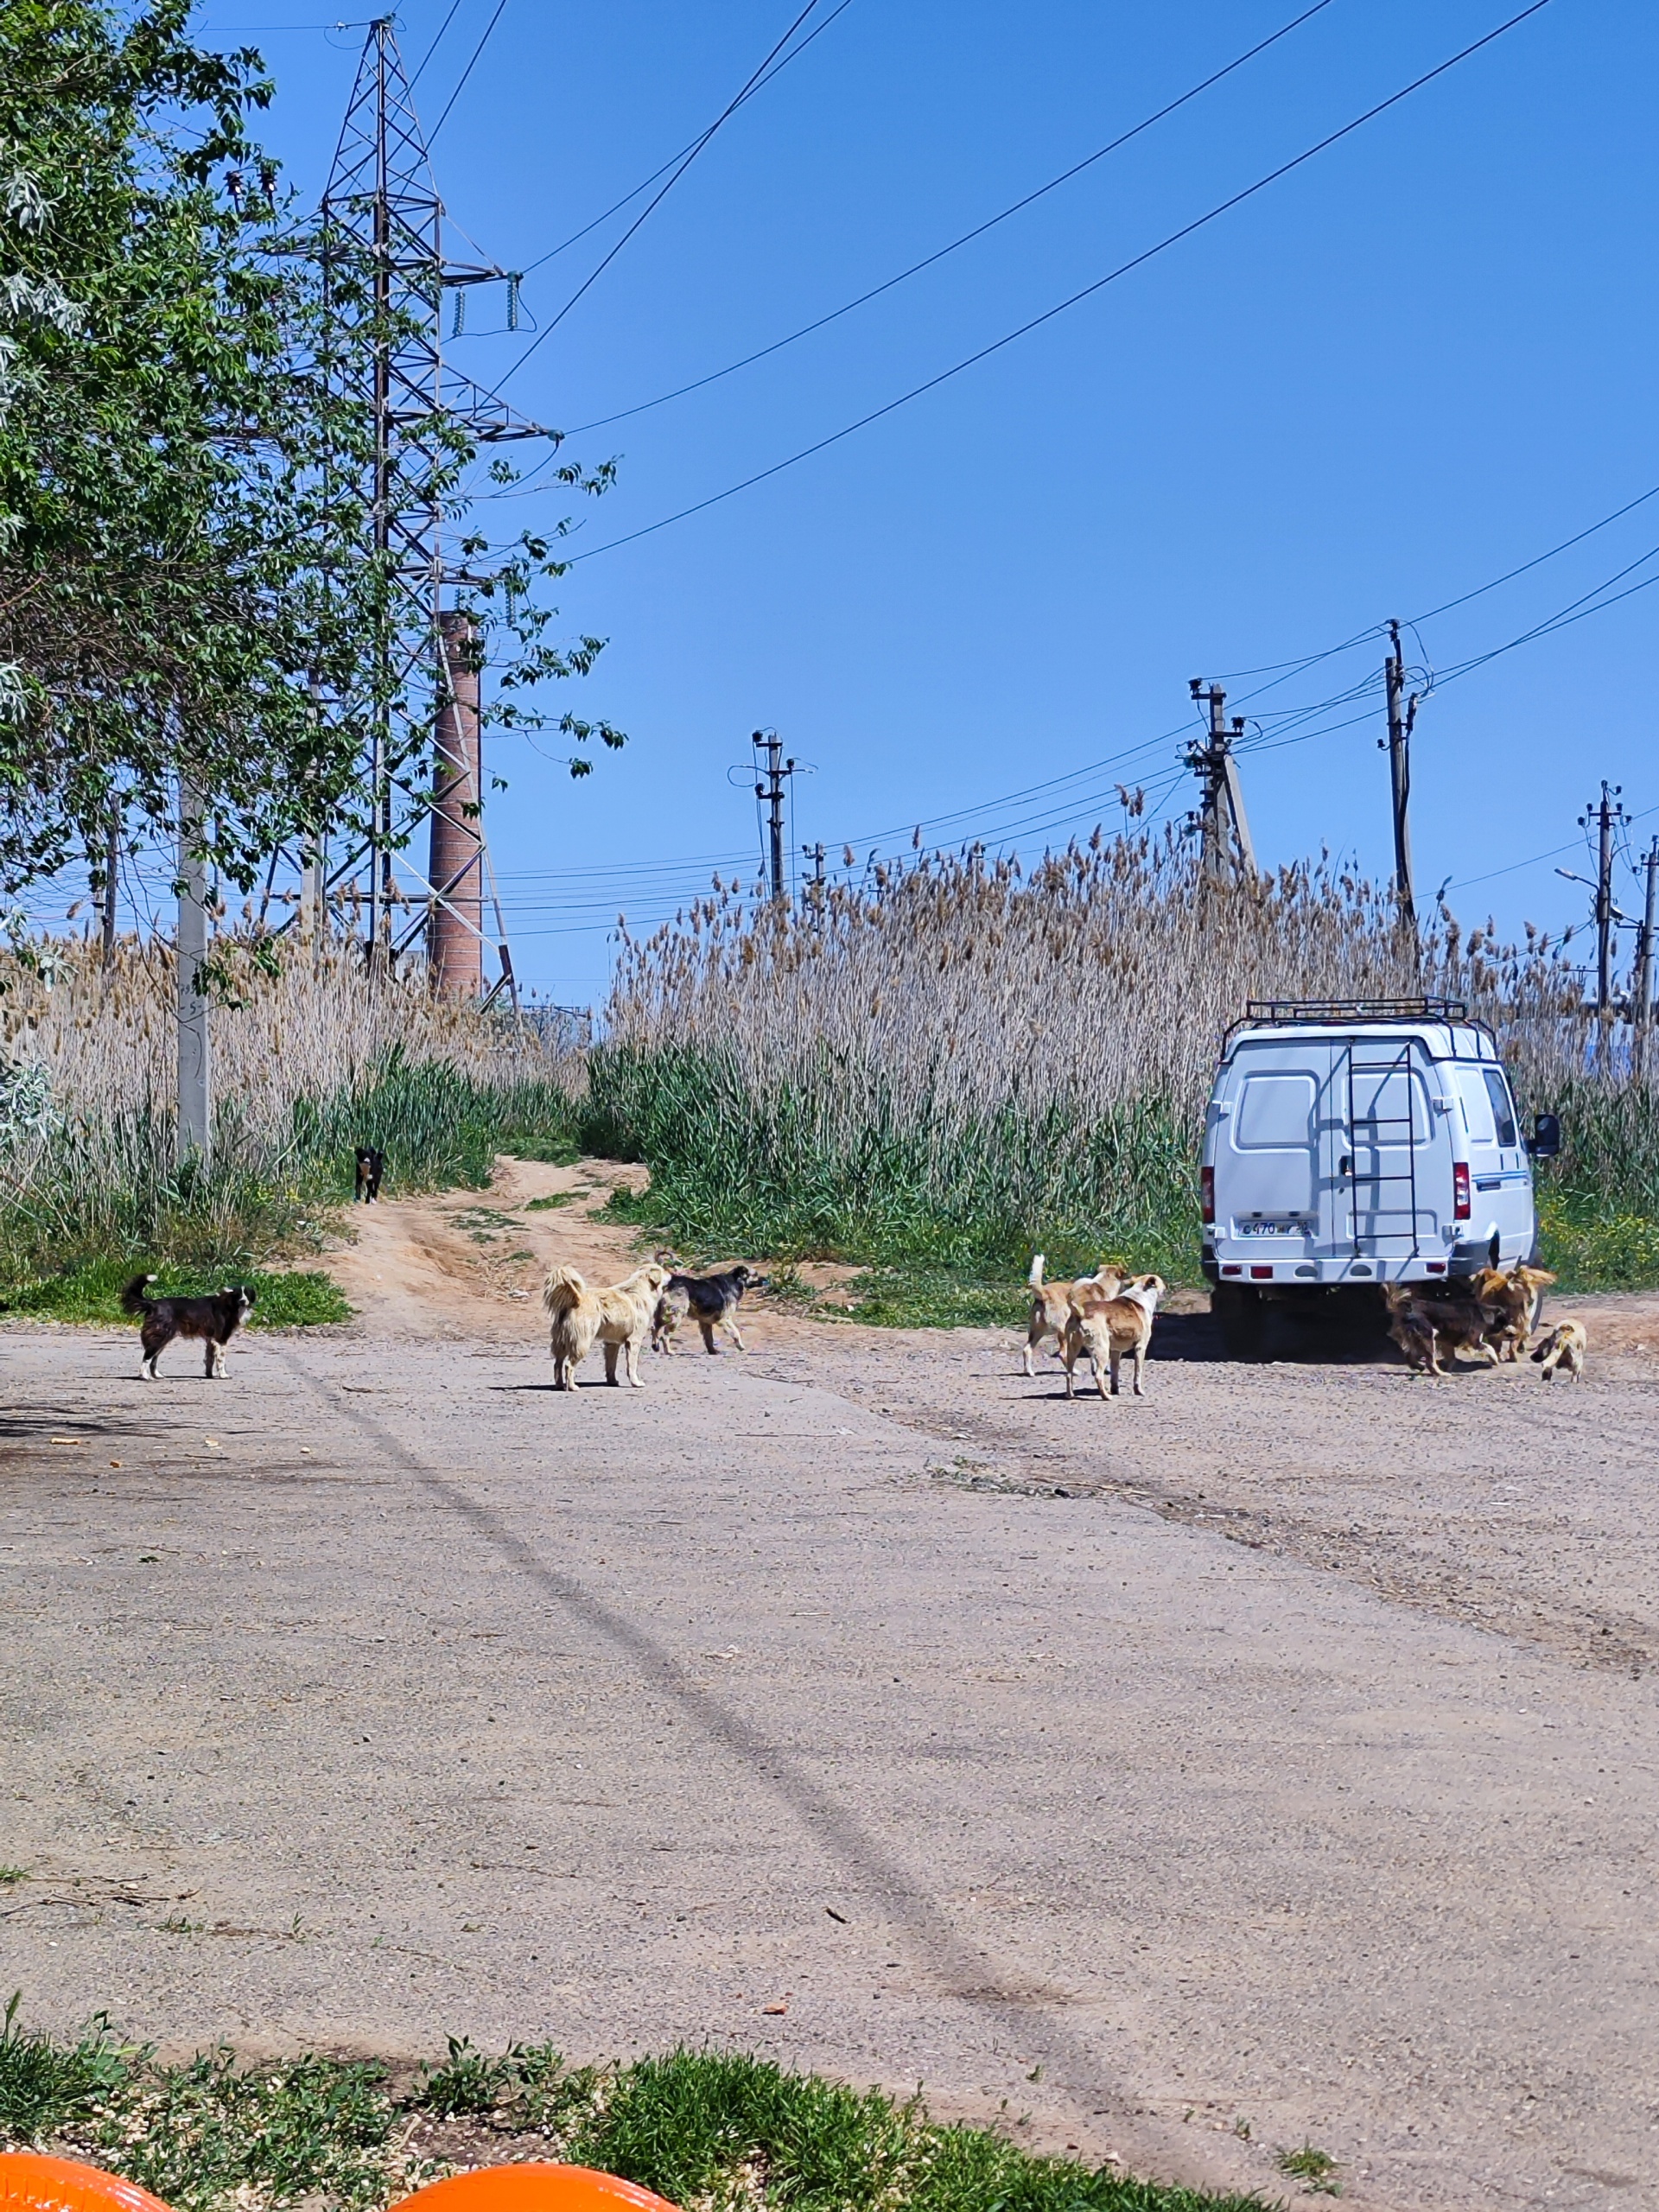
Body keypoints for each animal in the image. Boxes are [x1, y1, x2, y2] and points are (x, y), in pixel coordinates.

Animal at [121, 1274, 258, 1371]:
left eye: (247, 1294)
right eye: (238, 1295)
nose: (243, 1301)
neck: (230, 1304)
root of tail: (153, 1303)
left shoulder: (211, 1339)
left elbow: (210, 1359)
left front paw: (210, 1375)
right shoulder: (220, 1338)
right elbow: (221, 1359)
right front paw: (223, 1375)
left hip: (164, 1338)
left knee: (153, 1359)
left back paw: (157, 1376)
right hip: (160, 1335)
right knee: (147, 1357)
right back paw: (145, 1377)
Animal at [546, 1256, 677, 1389]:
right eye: (663, 1271)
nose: (672, 1273)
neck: (641, 1290)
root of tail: (577, 1299)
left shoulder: (612, 1343)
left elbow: (611, 1365)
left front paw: (612, 1381)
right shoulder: (634, 1341)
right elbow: (632, 1366)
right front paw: (636, 1383)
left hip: (562, 1342)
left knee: (557, 1364)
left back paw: (559, 1385)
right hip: (582, 1342)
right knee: (569, 1365)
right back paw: (572, 1387)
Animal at [1026, 1256, 1132, 1371]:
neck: (1102, 1285)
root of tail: (1044, 1294)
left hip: (1038, 1332)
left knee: (1027, 1349)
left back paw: (1030, 1372)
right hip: (1063, 1331)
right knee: (1062, 1354)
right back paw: (1075, 1371)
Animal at [1065, 1265, 1167, 1397]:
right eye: (1161, 1282)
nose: (1166, 1287)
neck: (1142, 1295)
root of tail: (1081, 1313)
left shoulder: (1116, 1351)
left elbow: (1114, 1374)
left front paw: (1115, 1390)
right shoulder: (1140, 1348)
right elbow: (1138, 1373)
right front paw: (1139, 1391)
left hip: (1072, 1351)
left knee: (1069, 1374)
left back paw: (1070, 1395)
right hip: (1102, 1350)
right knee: (1098, 1376)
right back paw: (1106, 1397)